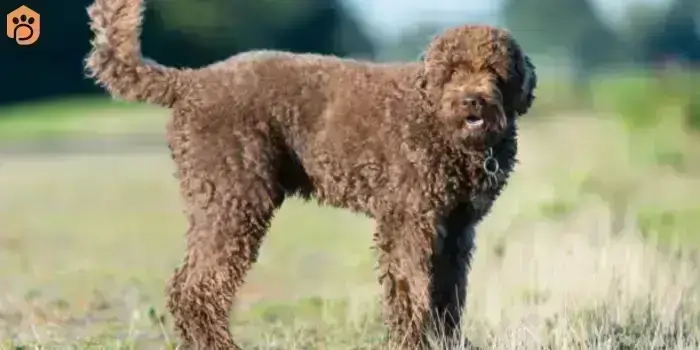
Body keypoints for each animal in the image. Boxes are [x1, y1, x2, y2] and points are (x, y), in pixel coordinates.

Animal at [85, 0, 536, 348]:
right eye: (452, 71)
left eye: (494, 70)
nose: (472, 101)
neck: (441, 127)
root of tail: (189, 82)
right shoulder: (408, 222)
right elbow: (410, 292)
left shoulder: (455, 229)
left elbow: (447, 295)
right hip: (232, 199)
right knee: (195, 287)